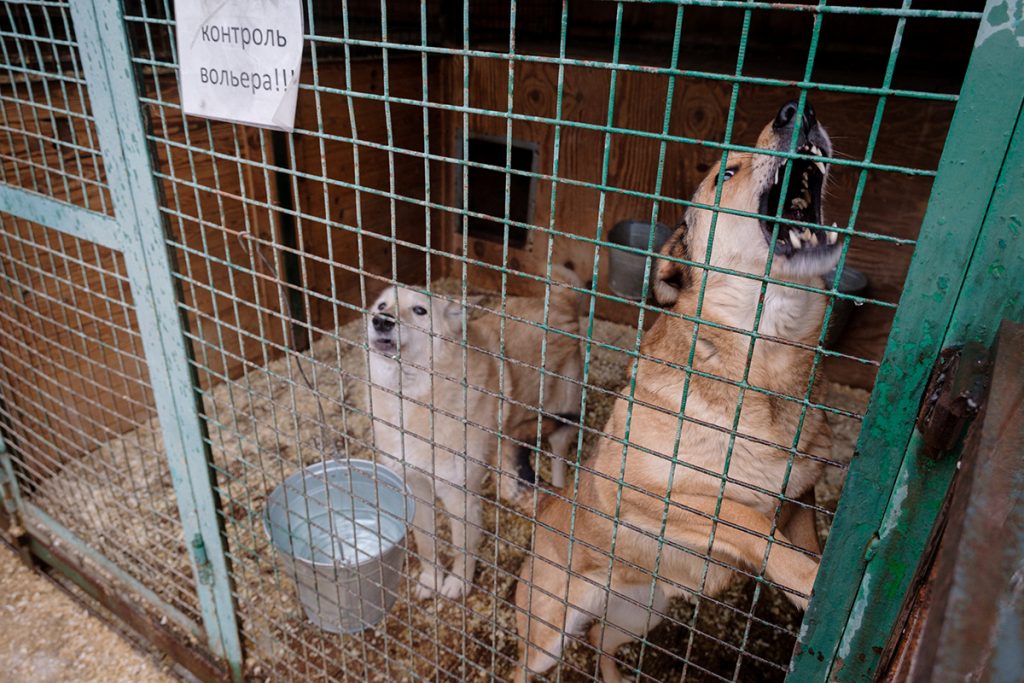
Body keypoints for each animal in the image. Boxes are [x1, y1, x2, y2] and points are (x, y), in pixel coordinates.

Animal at [368, 270, 581, 602]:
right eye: (381, 305)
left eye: (420, 310)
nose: (381, 321)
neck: (413, 396)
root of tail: (561, 301)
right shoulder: (415, 485)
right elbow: (426, 543)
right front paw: (431, 580)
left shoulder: (460, 496)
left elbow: (462, 548)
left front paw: (458, 583)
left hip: (562, 417)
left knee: (558, 456)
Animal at [512, 98, 839, 679]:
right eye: (724, 174)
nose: (795, 111)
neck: (766, 364)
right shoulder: (644, 491)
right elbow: (747, 519)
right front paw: (809, 582)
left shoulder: (800, 497)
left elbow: (798, 537)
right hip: (545, 638)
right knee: (522, 664)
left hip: (643, 613)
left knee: (599, 640)